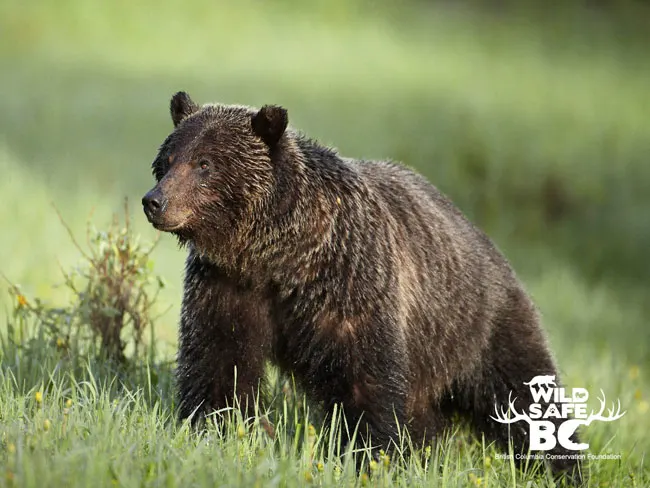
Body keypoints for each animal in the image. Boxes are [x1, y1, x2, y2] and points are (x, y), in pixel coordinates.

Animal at [143, 90, 584, 480]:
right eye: (168, 160)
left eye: (205, 164)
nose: (155, 201)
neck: (279, 257)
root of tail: (491, 247)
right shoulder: (228, 286)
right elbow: (218, 364)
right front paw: (212, 432)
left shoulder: (350, 284)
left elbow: (364, 380)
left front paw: (370, 456)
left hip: (480, 326)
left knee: (526, 394)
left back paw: (561, 467)